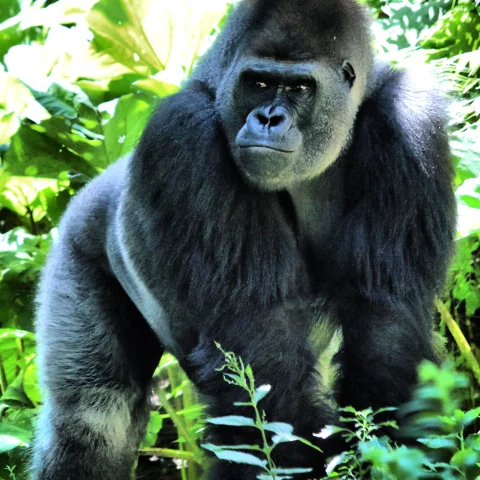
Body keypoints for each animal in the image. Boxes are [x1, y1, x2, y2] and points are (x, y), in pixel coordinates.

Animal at [31, 0, 456, 478]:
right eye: (259, 83)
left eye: (300, 87)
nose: (268, 118)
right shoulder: (183, 132)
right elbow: (259, 346)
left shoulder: (410, 119)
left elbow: (386, 321)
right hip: (75, 245)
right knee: (93, 415)